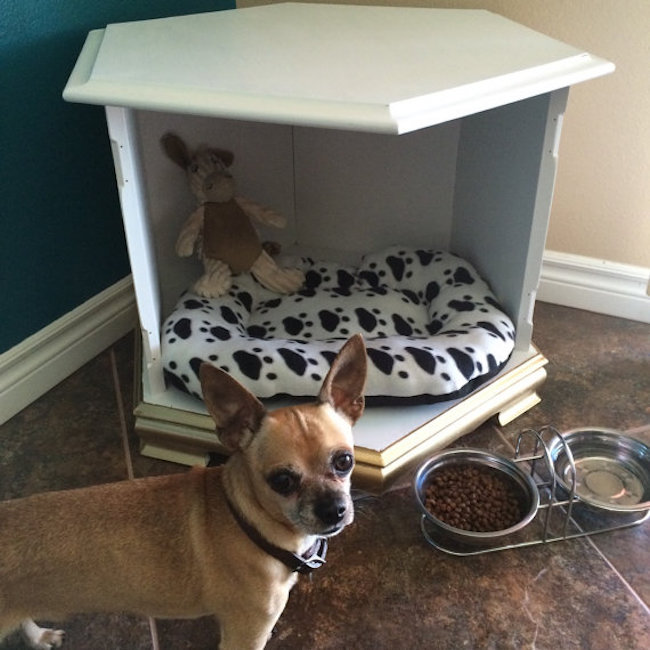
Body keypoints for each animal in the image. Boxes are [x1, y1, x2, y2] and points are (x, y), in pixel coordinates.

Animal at [0, 334, 364, 648]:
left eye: (344, 461)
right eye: (282, 481)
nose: (334, 510)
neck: (247, 522)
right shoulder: (245, 634)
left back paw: (38, 637)